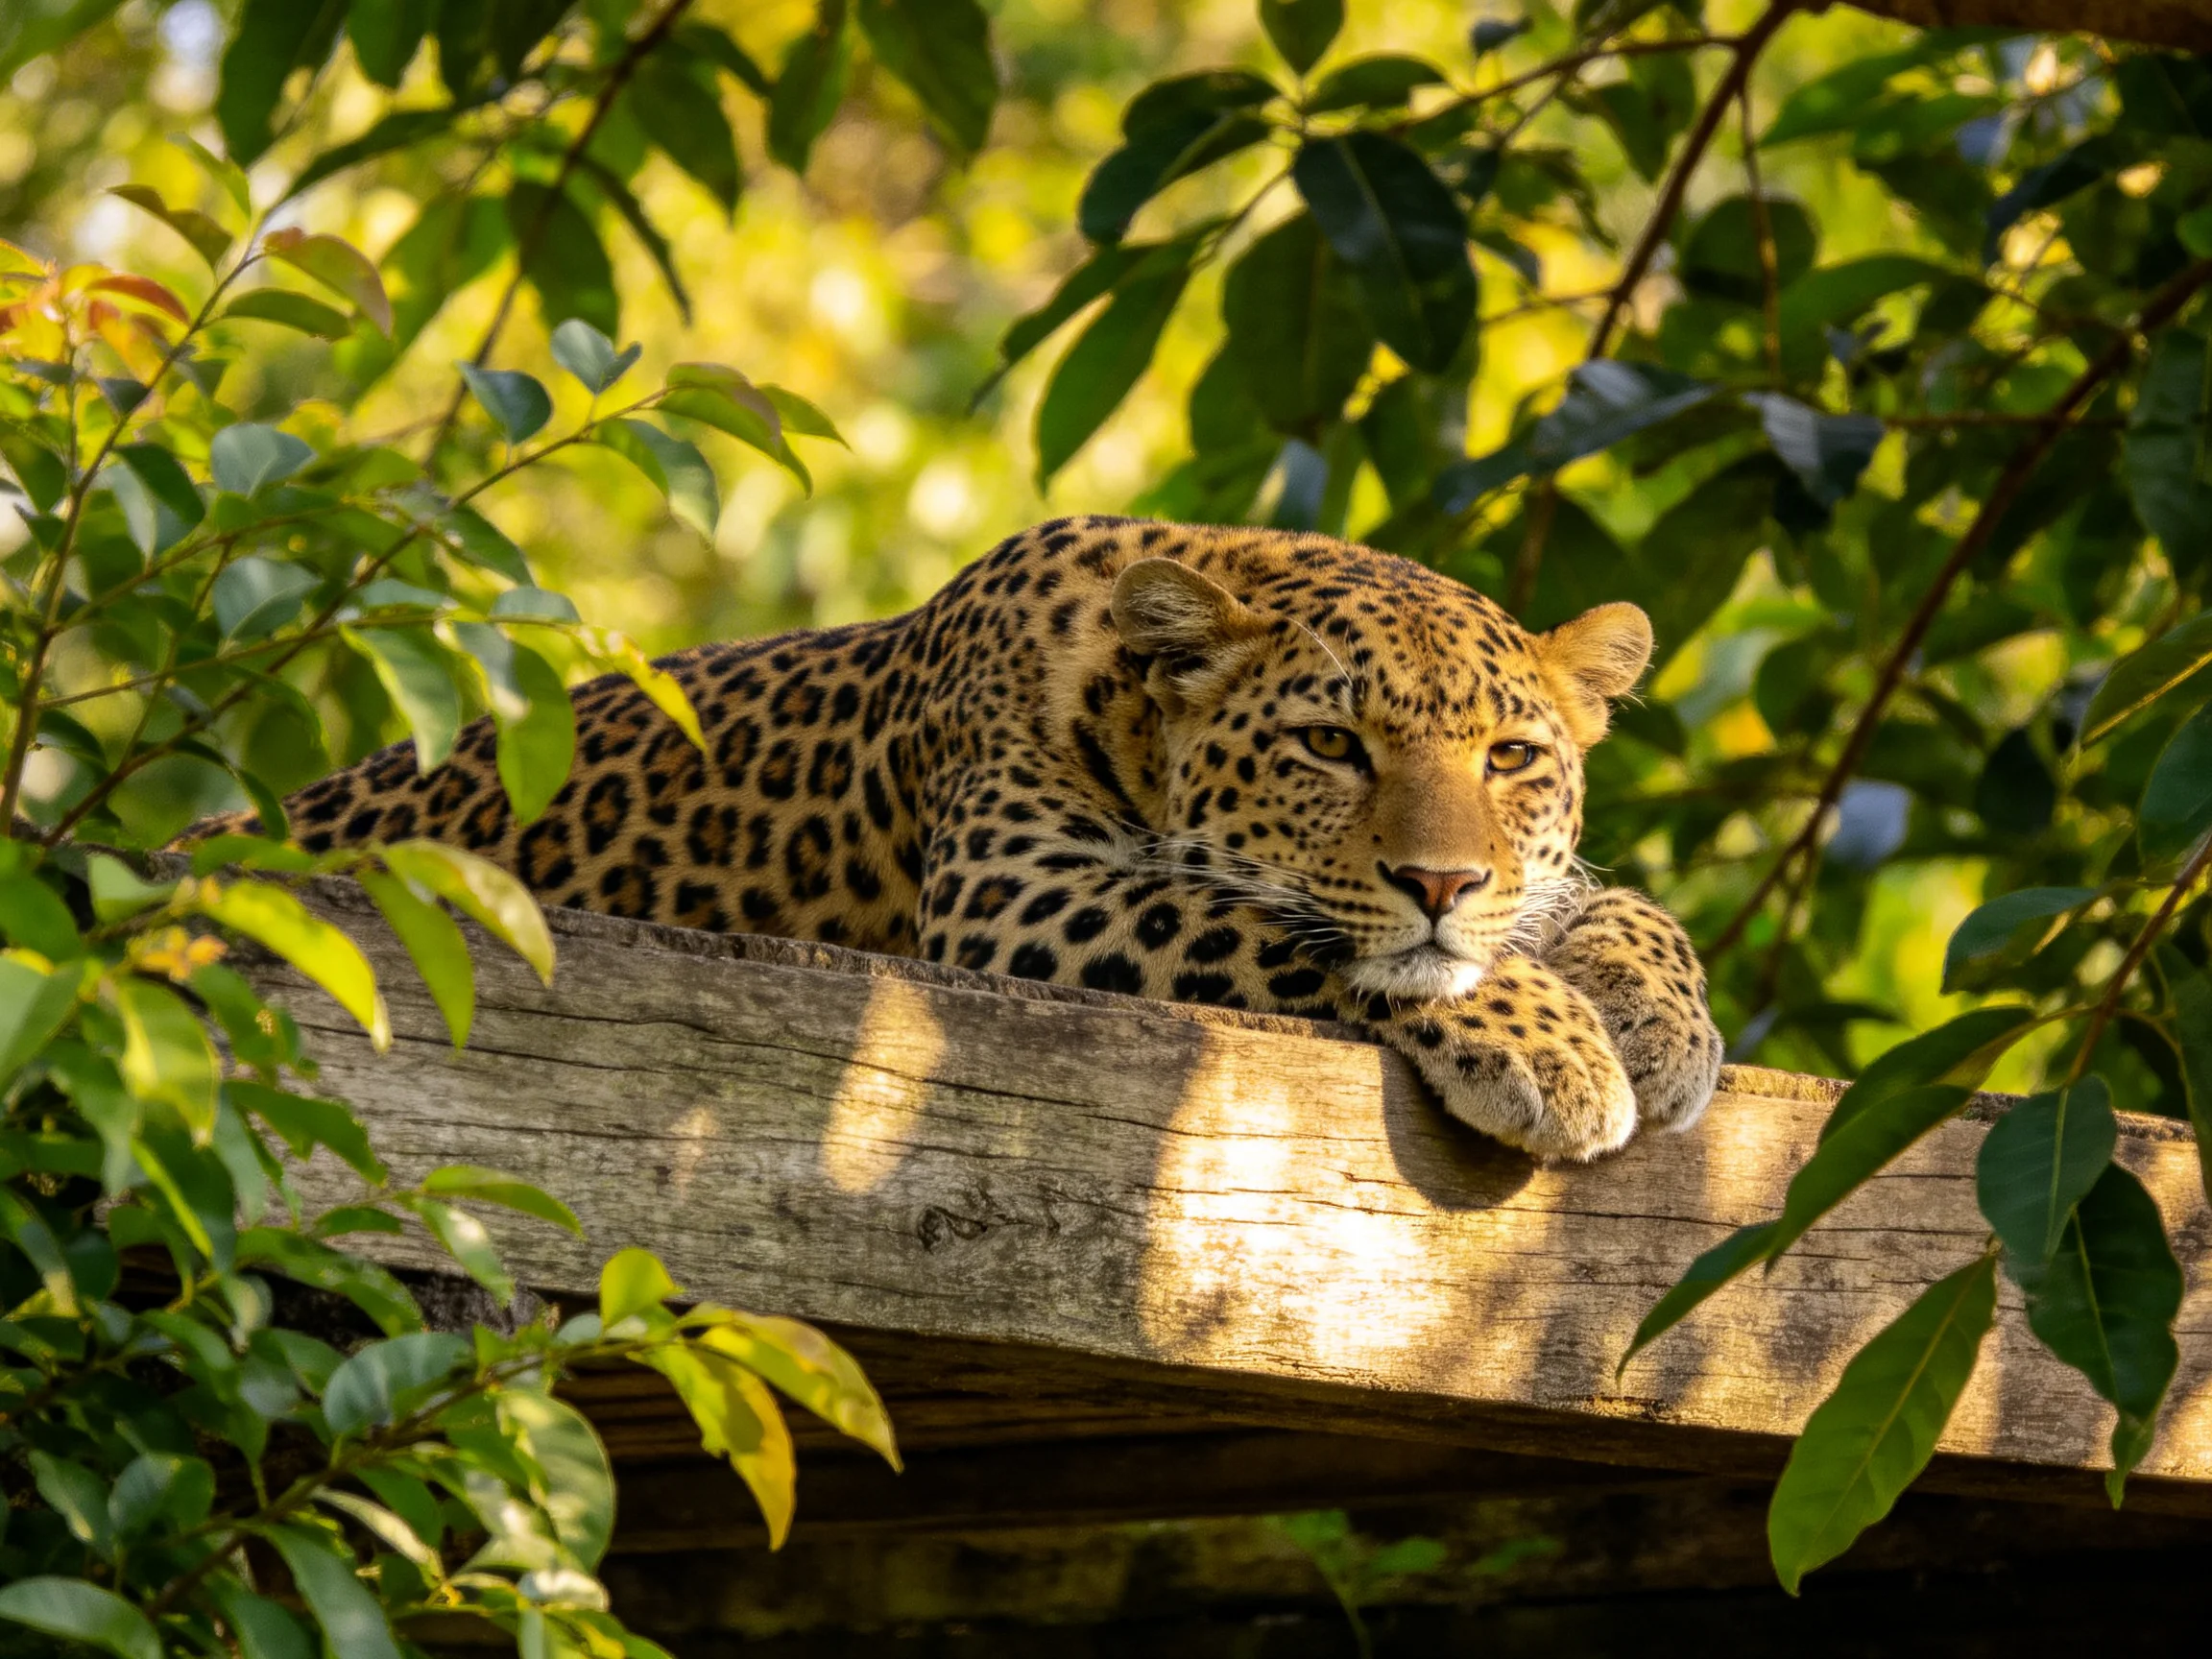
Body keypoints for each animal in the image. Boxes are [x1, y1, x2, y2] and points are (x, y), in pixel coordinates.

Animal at [211, 517, 1724, 1162]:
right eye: (1329, 747)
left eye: (1512, 759)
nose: (1442, 880)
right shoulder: (1018, 896)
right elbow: (1268, 922)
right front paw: (1555, 1048)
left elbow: (1623, 905)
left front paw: (1662, 1026)